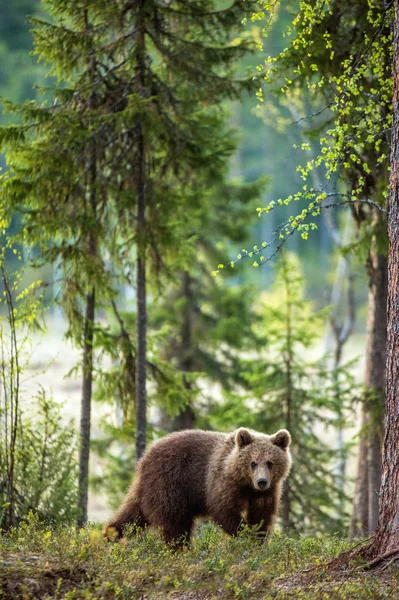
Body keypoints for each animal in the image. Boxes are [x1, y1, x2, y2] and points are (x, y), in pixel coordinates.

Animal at [103, 426, 290, 544]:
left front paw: (258, 540)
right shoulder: (220, 483)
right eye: (253, 462)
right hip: (170, 484)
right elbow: (225, 510)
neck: (245, 483)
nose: (262, 481)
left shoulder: (267, 493)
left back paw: (110, 534)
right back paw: (179, 549)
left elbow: (262, 516)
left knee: (132, 515)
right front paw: (244, 534)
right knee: (175, 523)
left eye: (270, 463)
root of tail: (143, 460)